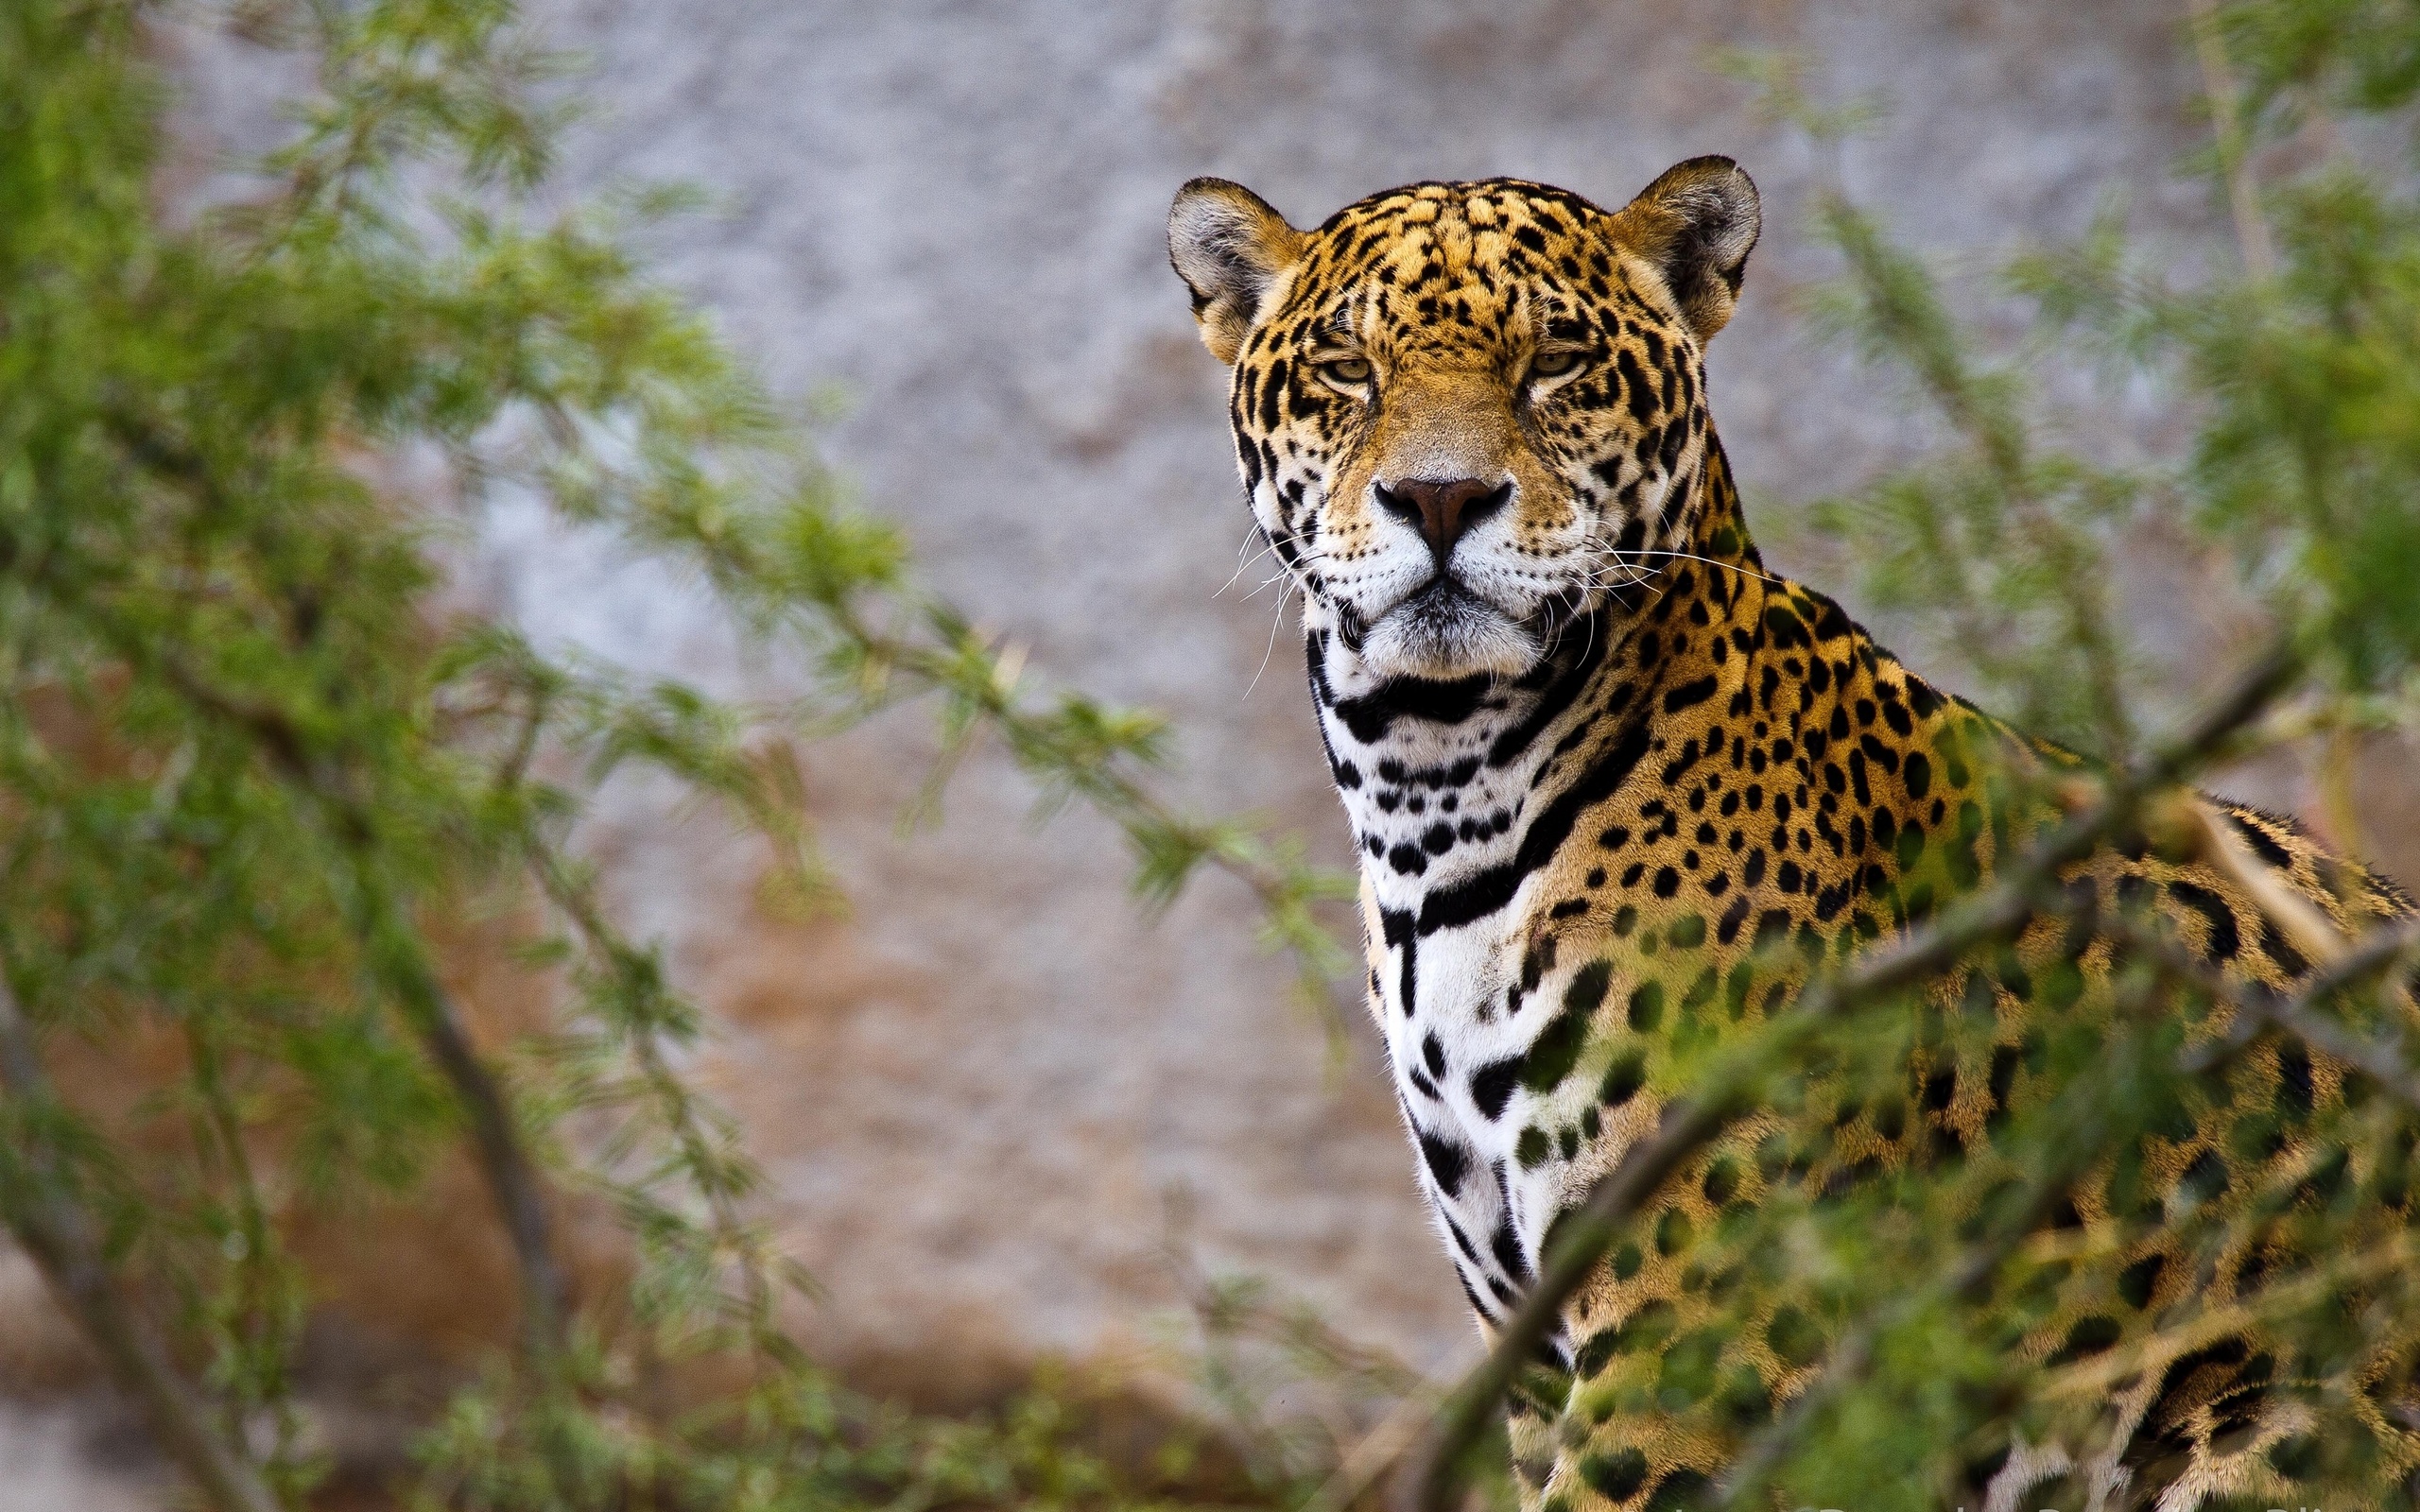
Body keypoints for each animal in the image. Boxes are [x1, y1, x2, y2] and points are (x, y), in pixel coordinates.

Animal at [1167, 158, 2420, 1510]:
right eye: (1347, 367)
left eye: (1557, 360)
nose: (1440, 498)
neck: (1436, 792)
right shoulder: (1539, 1354)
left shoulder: (1695, 1338)